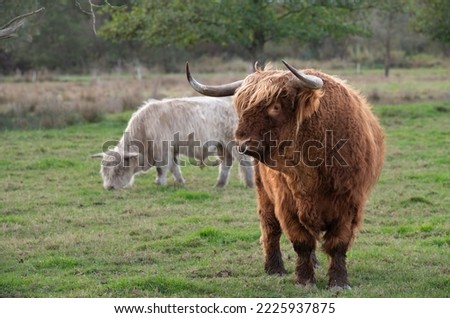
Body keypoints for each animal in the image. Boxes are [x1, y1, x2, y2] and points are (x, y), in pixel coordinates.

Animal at [185, 60, 384, 290]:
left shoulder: (349, 203)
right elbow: (301, 242)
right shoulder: (286, 203)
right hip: (264, 193)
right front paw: (304, 280)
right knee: (270, 228)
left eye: (276, 106)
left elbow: (338, 243)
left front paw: (339, 282)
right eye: (242, 107)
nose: (242, 143)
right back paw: (274, 268)